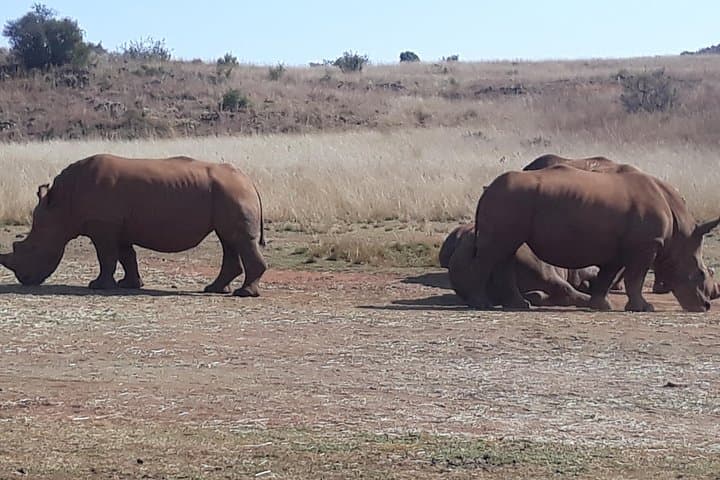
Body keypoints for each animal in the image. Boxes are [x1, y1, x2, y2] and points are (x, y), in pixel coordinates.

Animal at [0, 154, 267, 297]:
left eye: (32, 248)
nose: (24, 279)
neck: (61, 205)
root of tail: (249, 181)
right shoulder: (118, 226)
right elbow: (126, 255)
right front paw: (129, 285)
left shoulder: (103, 226)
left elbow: (107, 257)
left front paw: (98, 286)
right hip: (228, 192)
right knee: (228, 240)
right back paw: (214, 289)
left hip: (232, 192)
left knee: (237, 239)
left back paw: (243, 294)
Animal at [456, 164, 719, 312]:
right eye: (700, 274)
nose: (705, 306)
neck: (680, 235)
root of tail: (487, 189)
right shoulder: (646, 245)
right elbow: (636, 277)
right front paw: (645, 308)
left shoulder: (621, 248)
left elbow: (608, 276)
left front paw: (601, 306)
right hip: (509, 200)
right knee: (495, 252)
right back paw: (482, 305)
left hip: (509, 201)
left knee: (506, 252)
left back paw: (519, 305)